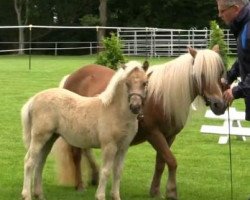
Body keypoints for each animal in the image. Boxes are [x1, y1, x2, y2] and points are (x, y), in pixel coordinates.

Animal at [53, 45, 227, 200]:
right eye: (201, 74)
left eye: (220, 73)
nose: (219, 105)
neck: (160, 97)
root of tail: (71, 77)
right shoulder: (154, 134)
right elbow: (171, 161)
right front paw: (171, 192)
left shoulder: (169, 136)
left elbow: (161, 162)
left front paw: (155, 191)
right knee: (76, 155)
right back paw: (80, 186)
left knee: (85, 150)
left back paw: (95, 176)